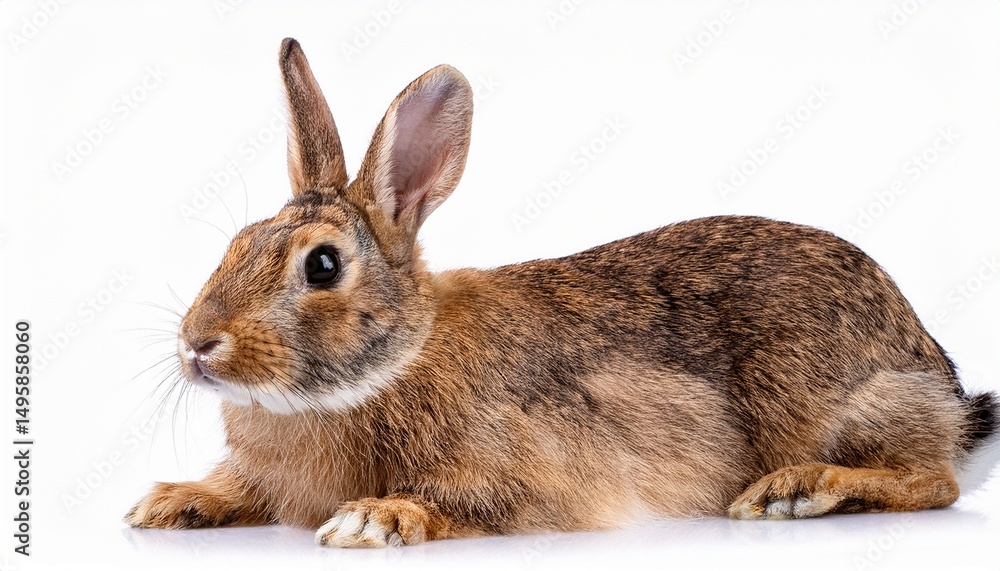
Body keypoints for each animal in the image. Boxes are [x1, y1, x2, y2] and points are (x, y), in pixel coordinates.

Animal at [125, 38, 997, 548]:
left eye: (323, 266)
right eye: (237, 244)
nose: (198, 345)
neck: (397, 360)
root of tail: (940, 381)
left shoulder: (532, 471)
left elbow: (467, 499)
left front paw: (376, 516)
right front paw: (170, 503)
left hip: (837, 403)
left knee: (935, 480)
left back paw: (799, 490)